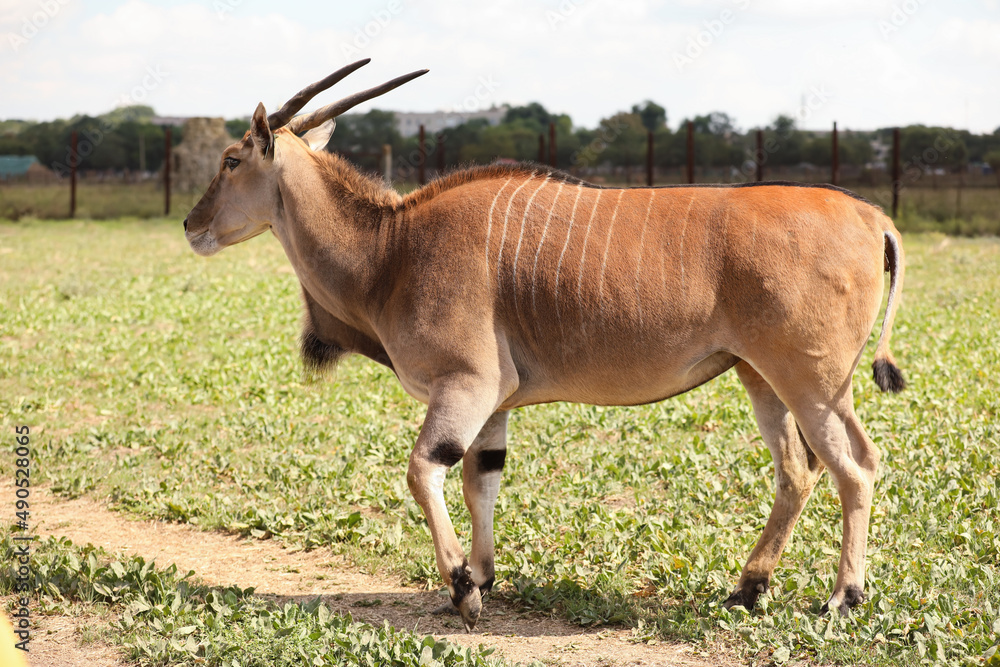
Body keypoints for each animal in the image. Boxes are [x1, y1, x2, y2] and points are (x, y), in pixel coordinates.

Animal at [182, 61, 908, 632]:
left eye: (232, 160)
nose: (191, 224)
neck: (392, 249)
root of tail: (871, 215)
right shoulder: (491, 403)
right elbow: (480, 478)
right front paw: (482, 577)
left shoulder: (465, 385)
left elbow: (423, 469)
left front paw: (462, 589)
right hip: (767, 380)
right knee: (802, 469)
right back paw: (748, 589)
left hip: (811, 382)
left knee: (852, 467)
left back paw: (843, 597)